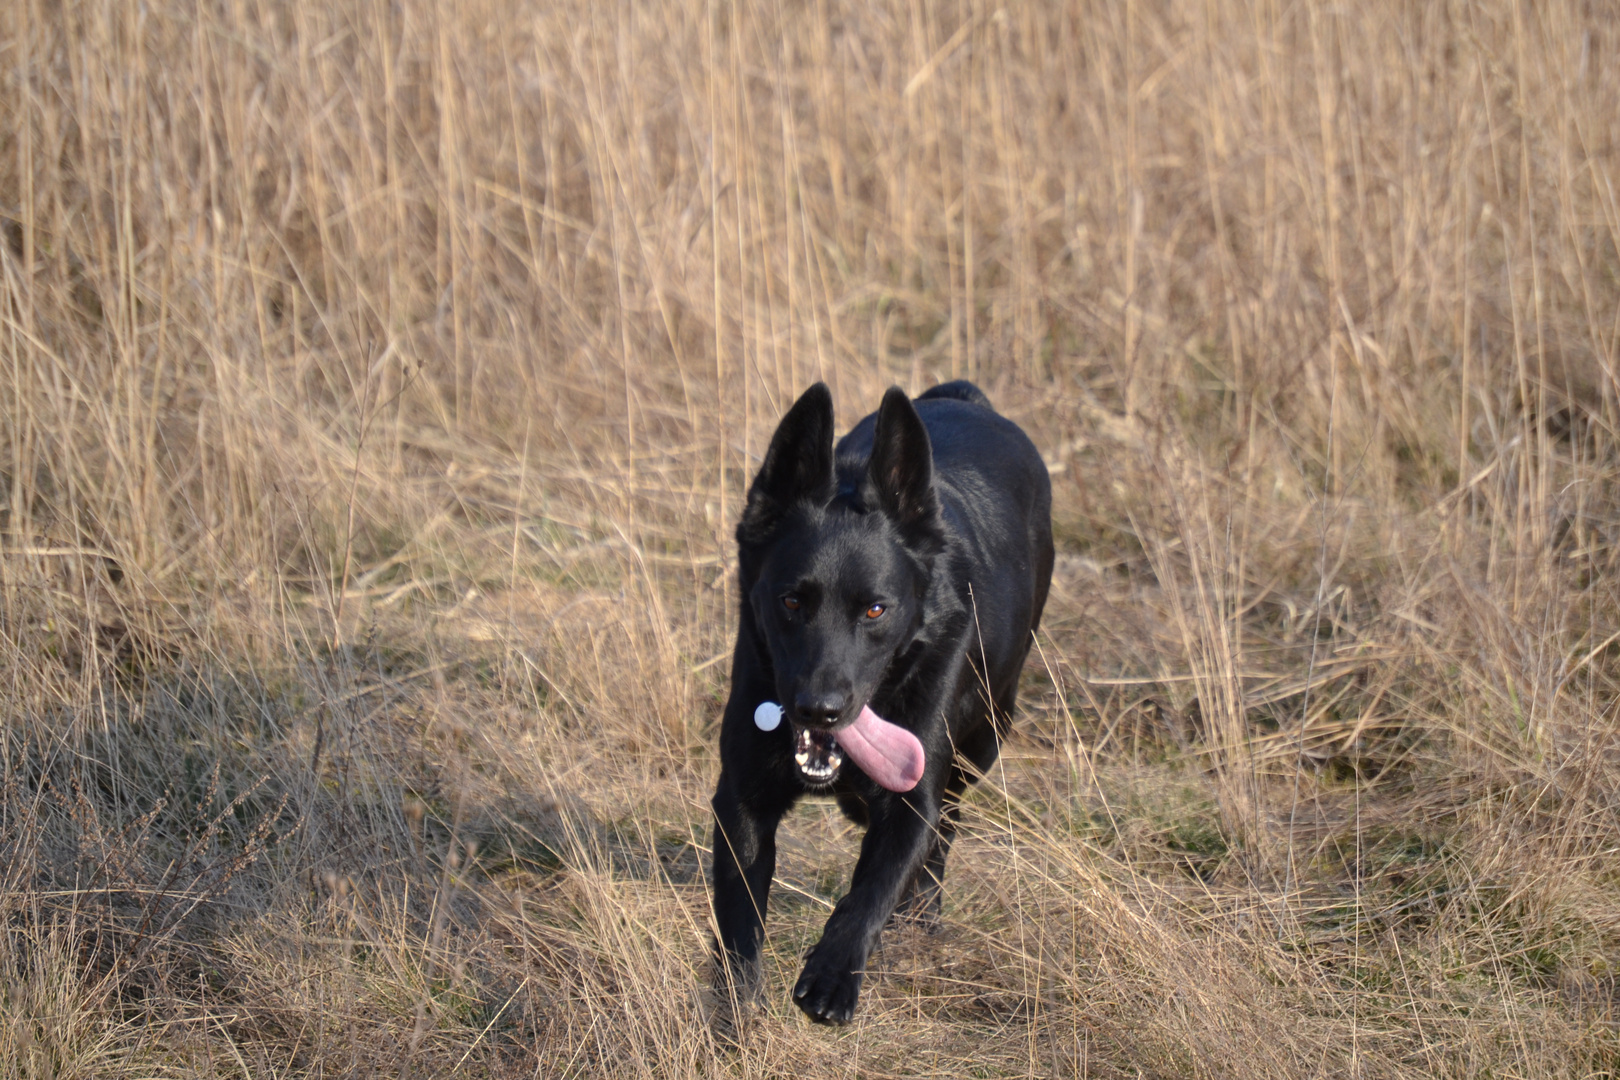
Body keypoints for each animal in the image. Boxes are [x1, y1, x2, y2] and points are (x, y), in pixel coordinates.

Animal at [706, 380, 1049, 1023]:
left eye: (874, 610)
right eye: (791, 601)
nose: (820, 709)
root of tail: (965, 398)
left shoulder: (913, 798)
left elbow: (871, 892)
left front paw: (832, 975)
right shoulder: (741, 801)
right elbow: (738, 929)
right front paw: (733, 1018)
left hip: (986, 735)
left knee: (945, 832)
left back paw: (920, 920)